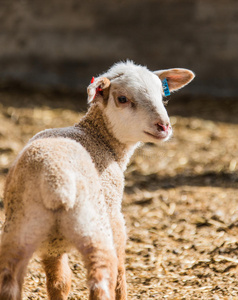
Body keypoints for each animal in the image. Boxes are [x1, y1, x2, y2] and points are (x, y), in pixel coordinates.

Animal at [0, 61, 193, 300]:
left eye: (162, 95)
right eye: (122, 99)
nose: (164, 126)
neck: (98, 137)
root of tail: (55, 181)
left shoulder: (52, 249)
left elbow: (59, 283)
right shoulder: (115, 217)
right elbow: (120, 273)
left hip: (18, 231)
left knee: (9, 283)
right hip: (95, 229)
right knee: (102, 281)